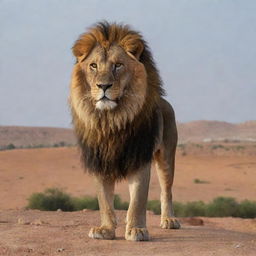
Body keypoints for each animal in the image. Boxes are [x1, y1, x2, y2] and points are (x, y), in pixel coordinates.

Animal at [69, 21, 179, 240]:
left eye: (118, 65)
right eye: (93, 65)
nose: (103, 86)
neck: (111, 120)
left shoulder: (139, 157)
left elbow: (138, 200)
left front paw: (137, 229)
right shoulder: (100, 160)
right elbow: (104, 201)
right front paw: (105, 229)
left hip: (167, 156)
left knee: (166, 190)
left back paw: (169, 220)